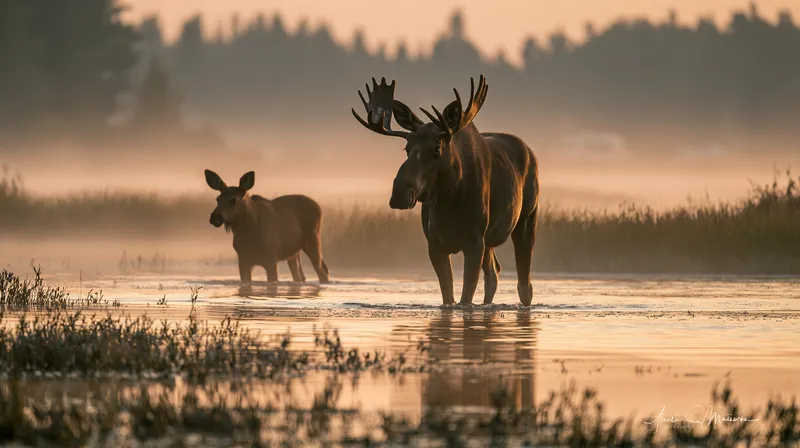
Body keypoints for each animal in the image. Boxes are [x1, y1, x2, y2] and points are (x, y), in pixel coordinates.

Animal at [351, 75, 539, 306]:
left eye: (436, 148)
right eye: (407, 148)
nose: (400, 194)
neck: (450, 202)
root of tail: (530, 152)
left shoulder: (474, 241)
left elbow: (465, 297)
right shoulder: (435, 244)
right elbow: (448, 297)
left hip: (527, 218)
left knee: (524, 285)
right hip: (490, 242)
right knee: (494, 274)